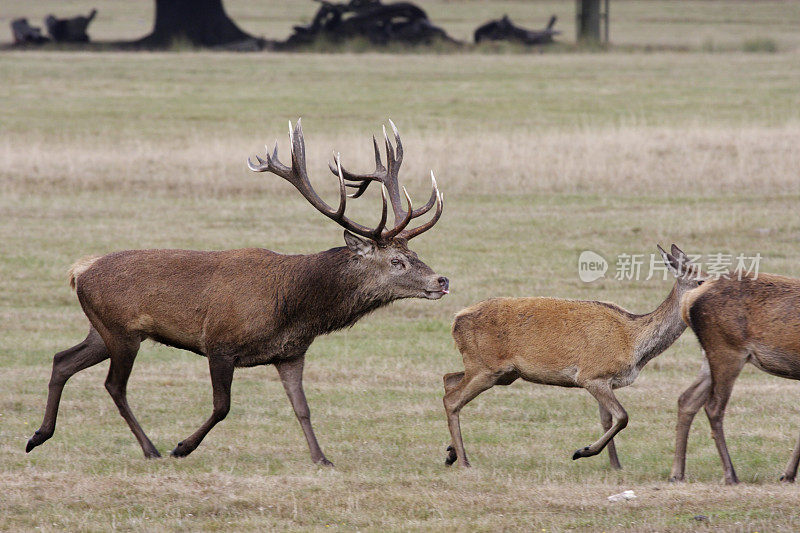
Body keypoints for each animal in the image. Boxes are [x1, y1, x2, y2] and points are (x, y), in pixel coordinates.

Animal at [25, 119, 446, 462]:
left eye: (415, 253)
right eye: (397, 262)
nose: (441, 281)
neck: (293, 308)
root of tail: (80, 271)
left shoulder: (291, 354)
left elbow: (303, 408)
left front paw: (321, 458)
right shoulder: (219, 343)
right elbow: (222, 406)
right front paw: (183, 447)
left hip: (102, 329)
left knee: (62, 360)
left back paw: (39, 436)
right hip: (121, 331)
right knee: (114, 385)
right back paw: (151, 449)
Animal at [440, 244, 704, 466]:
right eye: (701, 280)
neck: (633, 343)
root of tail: (455, 321)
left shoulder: (606, 381)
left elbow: (607, 419)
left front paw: (615, 465)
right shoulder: (592, 374)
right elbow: (622, 416)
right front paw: (582, 452)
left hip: (499, 372)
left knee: (449, 379)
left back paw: (451, 453)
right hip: (486, 366)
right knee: (451, 399)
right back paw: (464, 462)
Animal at [672, 270, 800, 482]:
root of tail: (688, 299)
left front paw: (787, 475)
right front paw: (788, 474)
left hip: (709, 357)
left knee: (687, 399)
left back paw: (677, 473)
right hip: (727, 349)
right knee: (713, 407)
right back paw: (730, 475)